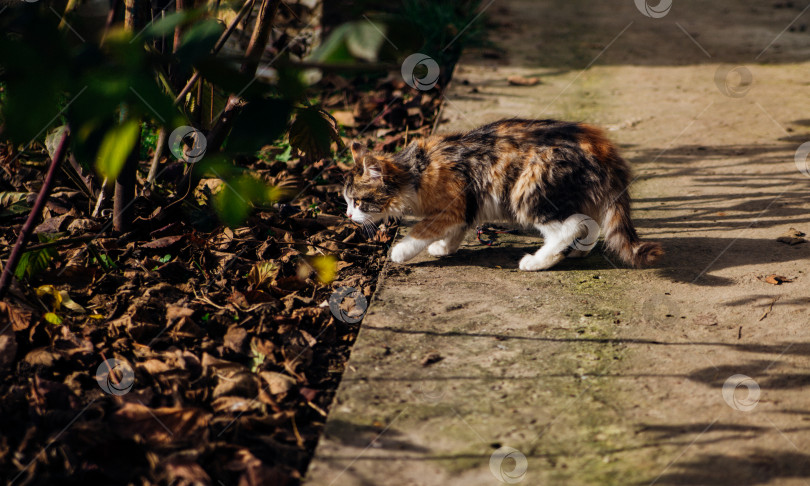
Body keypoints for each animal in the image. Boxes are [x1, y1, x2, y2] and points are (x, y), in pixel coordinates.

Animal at [340, 117, 664, 270]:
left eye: (358, 201)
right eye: (347, 202)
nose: (347, 215)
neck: (417, 171)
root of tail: (601, 148)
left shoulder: (452, 204)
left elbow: (421, 230)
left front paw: (400, 251)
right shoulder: (467, 204)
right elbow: (457, 229)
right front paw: (444, 248)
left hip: (528, 192)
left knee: (568, 227)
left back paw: (537, 262)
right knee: (589, 223)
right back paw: (575, 252)